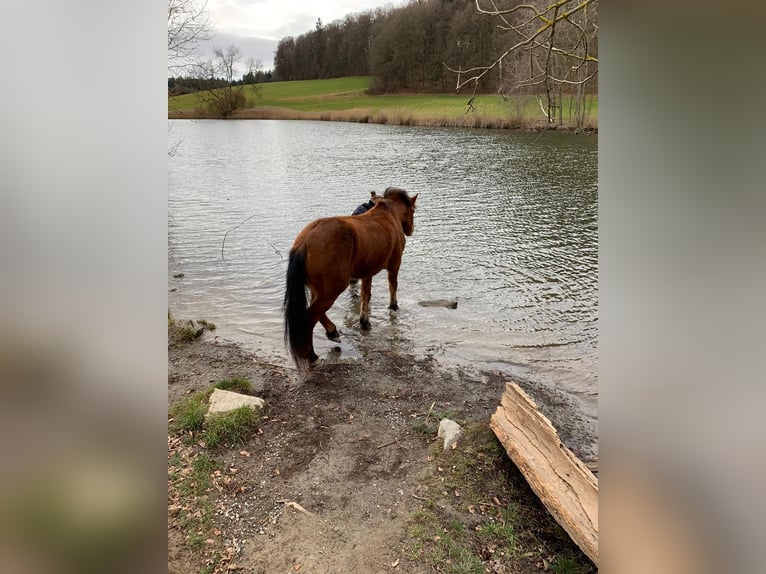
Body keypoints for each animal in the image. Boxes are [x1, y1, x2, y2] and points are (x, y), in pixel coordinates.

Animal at [284, 187, 420, 372]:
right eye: (413, 210)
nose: (411, 229)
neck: (389, 216)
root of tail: (304, 242)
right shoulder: (394, 266)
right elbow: (393, 287)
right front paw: (393, 306)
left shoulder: (367, 272)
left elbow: (365, 295)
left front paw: (364, 322)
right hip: (331, 289)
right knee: (309, 318)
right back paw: (312, 356)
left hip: (318, 289)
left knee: (318, 312)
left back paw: (332, 332)